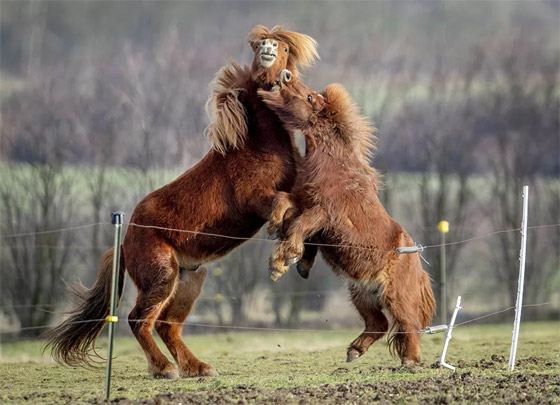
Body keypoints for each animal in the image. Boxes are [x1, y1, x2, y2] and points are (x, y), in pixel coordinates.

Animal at [43, 26, 320, 378]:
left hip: (190, 279)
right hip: (162, 276)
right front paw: (282, 254)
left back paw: (199, 368)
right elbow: (284, 206)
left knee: (167, 325)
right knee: (139, 320)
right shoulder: (255, 199)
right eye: (259, 47)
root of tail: (125, 242)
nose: (269, 49)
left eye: (283, 48)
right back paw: (165, 369)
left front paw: (294, 256)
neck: (256, 144)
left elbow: (304, 212)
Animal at [260, 79, 436, 362]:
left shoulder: (323, 213)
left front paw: (284, 261)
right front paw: (277, 231)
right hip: (362, 294)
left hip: (395, 297)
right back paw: (354, 350)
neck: (335, 166)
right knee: (378, 324)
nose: (283, 77)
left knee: (409, 324)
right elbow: (283, 201)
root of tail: (416, 259)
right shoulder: (304, 202)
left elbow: (299, 226)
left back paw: (409, 361)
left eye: (309, 97)